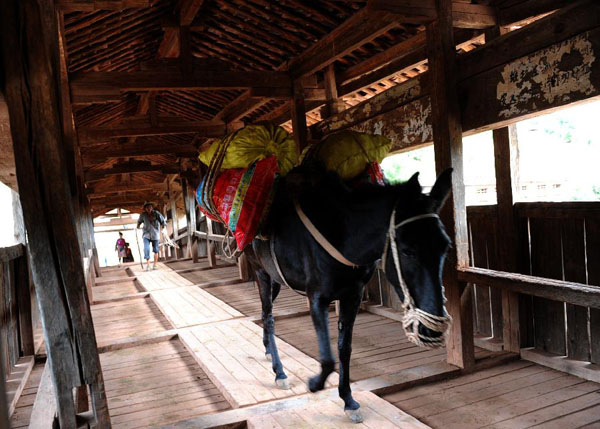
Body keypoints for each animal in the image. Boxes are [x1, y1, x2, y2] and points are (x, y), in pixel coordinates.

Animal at [246, 164, 452, 422]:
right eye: (407, 250)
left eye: (446, 245)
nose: (431, 330)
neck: (342, 236)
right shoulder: (317, 298)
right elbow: (327, 358)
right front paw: (315, 383)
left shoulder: (352, 295)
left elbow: (344, 349)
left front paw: (348, 400)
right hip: (261, 272)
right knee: (269, 318)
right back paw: (280, 372)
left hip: (275, 279)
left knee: (266, 315)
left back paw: (267, 349)